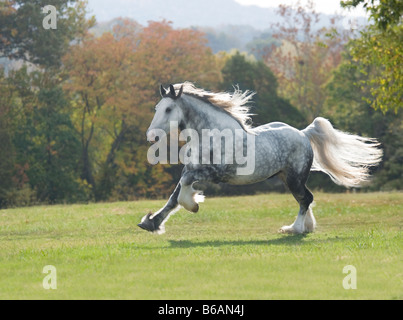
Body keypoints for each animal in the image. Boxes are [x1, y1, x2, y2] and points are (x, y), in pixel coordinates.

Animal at [138, 82, 382, 235]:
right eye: (157, 107)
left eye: (169, 109)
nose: (151, 136)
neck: (210, 135)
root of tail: (303, 134)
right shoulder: (192, 169)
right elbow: (174, 196)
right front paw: (151, 223)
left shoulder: (214, 173)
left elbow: (184, 188)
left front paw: (193, 204)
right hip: (286, 178)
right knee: (305, 198)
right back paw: (306, 227)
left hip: (293, 178)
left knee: (305, 199)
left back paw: (293, 229)